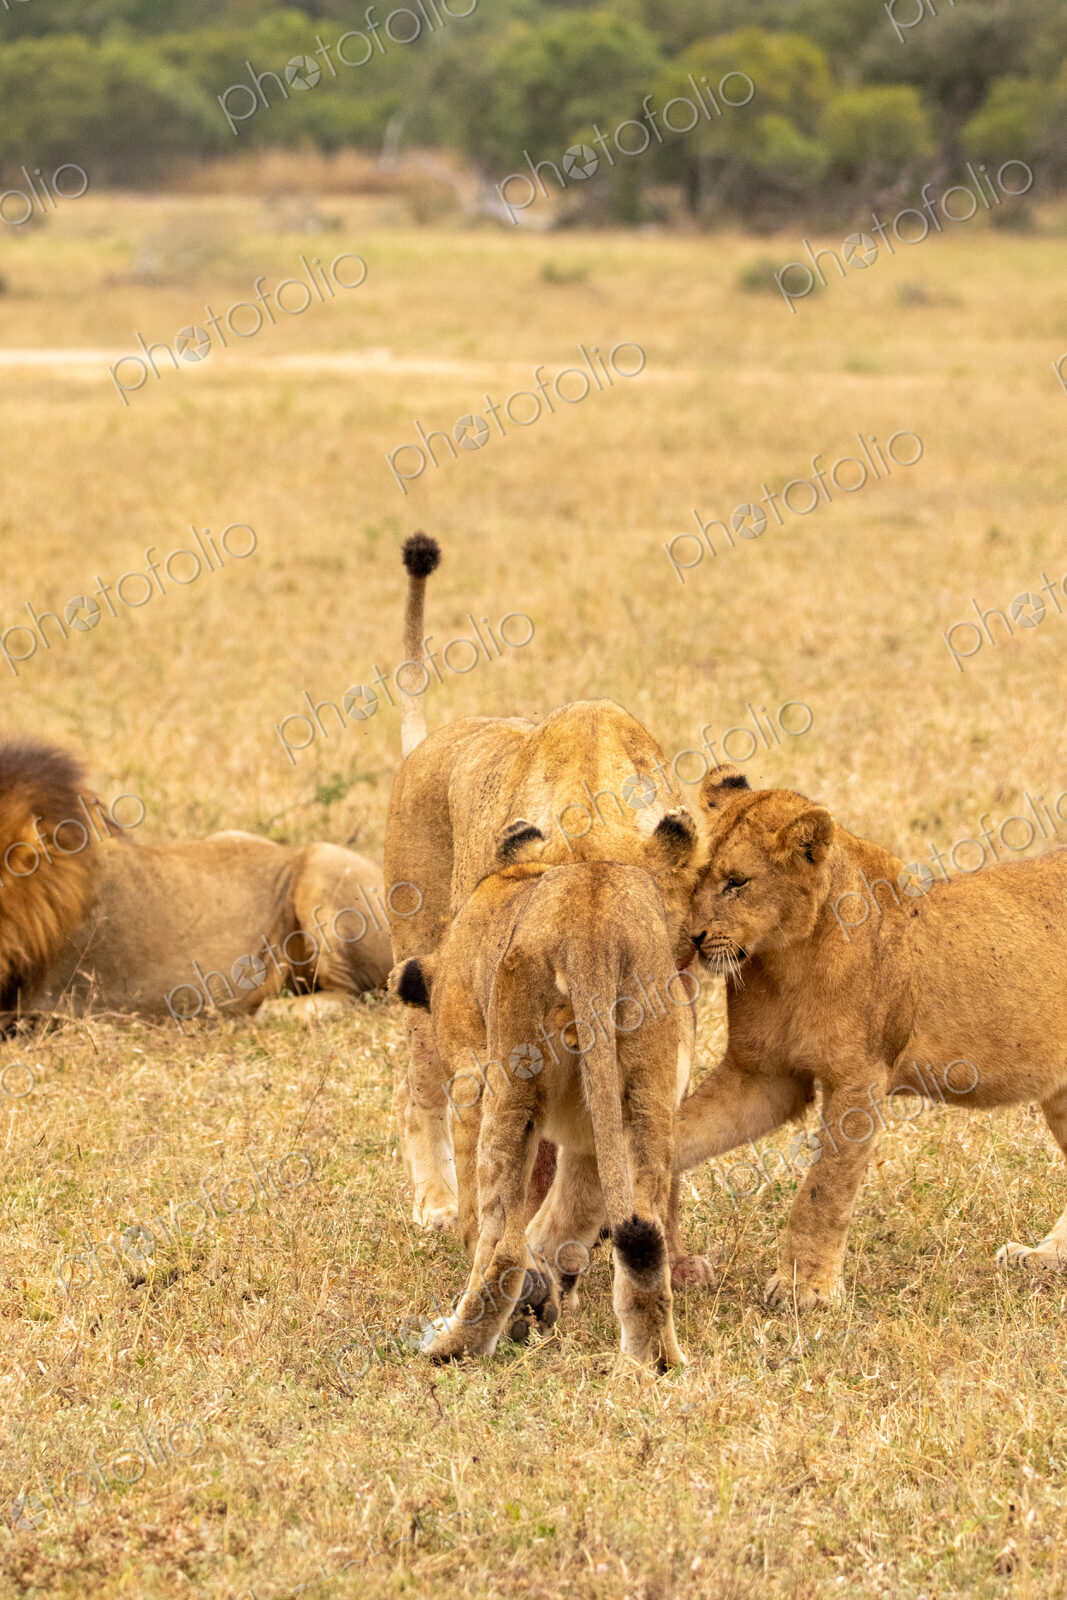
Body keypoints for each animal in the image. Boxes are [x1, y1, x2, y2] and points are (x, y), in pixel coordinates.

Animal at [390, 858, 691, 1369]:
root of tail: (594, 928)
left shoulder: (470, 1074)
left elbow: (479, 1218)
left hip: (513, 1078)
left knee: (504, 1246)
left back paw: (452, 1346)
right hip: (647, 1087)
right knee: (647, 1235)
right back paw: (651, 1363)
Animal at [674, 763, 1067, 1310]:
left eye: (736, 882)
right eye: (695, 877)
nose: (689, 937)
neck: (784, 960)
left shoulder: (860, 1078)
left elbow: (823, 1190)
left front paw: (806, 1291)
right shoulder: (763, 1075)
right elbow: (683, 1131)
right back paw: (1042, 1258)